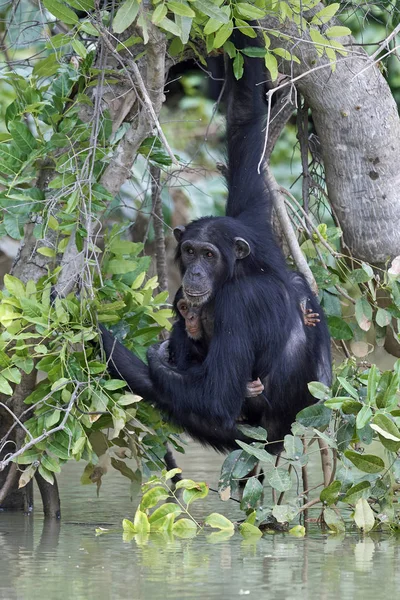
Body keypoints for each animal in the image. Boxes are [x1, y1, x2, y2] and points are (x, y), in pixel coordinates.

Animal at [101, 29, 332, 450]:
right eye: (190, 251)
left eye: (209, 255)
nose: (193, 272)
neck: (236, 273)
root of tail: (286, 433)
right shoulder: (252, 222)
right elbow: (244, 118)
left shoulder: (238, 305)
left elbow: (217, 396)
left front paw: (145, 351)